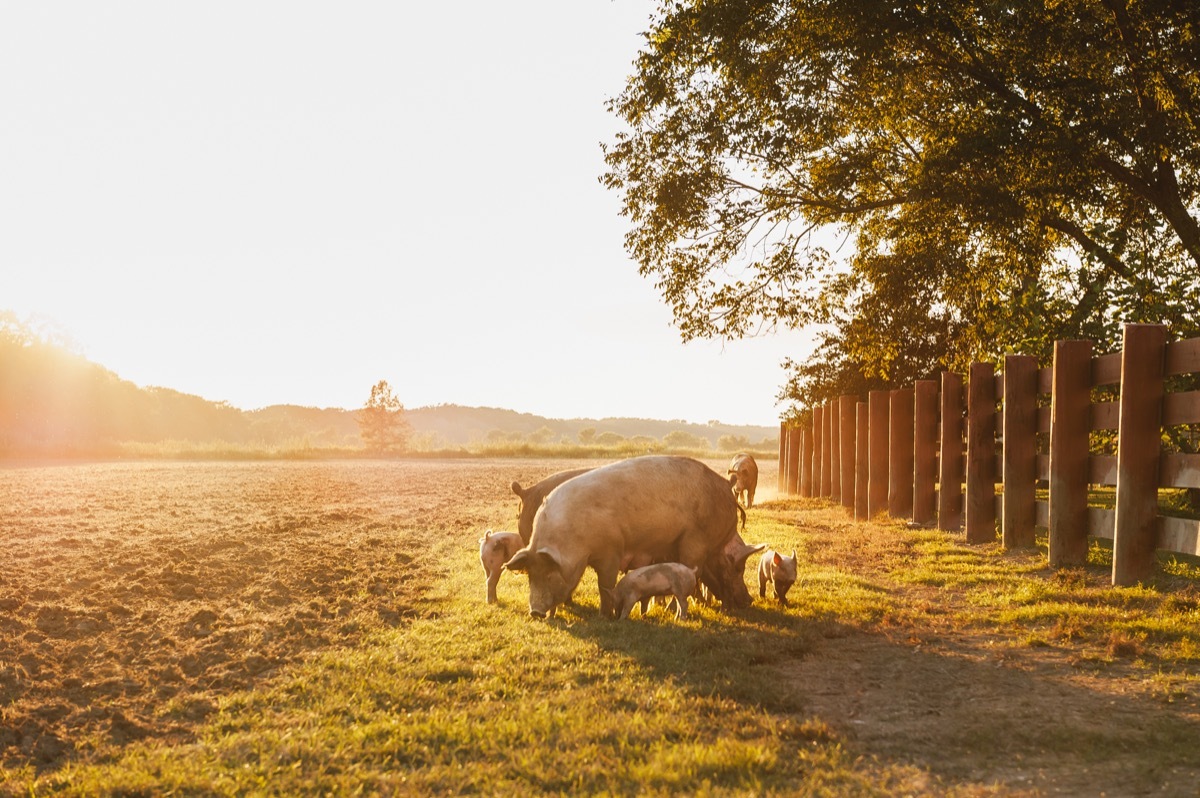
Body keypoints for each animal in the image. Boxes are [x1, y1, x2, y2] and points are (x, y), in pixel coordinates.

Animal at [506, 453, 758, 614]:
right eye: (531, 575)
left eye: (549, 574)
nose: (535, 612)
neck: (575, 541)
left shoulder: (611, 551)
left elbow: (605, 584)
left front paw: (605, 615)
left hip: (693, 542)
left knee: (688, 574)